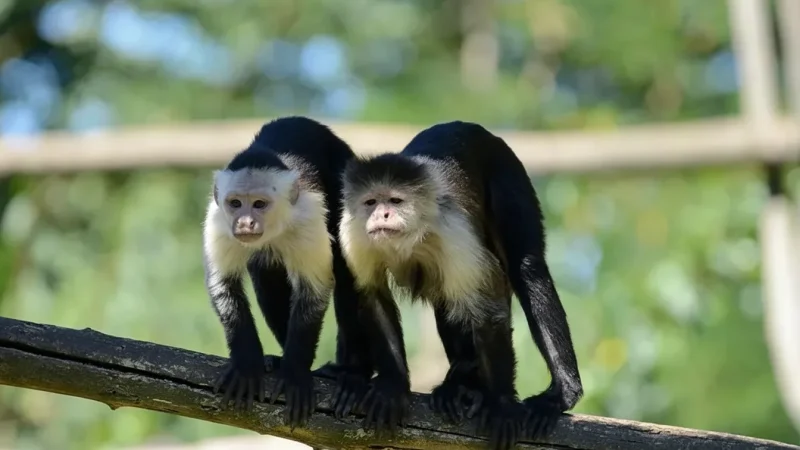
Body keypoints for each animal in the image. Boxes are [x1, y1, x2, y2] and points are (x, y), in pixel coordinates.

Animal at [203, 116, 374, 429]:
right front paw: (247, 363)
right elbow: (223, 285)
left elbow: (313, 290)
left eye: (259, 204)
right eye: (235, 203)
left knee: (347, 272)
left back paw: (354, 374)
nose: (244, 223)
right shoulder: (217, 219)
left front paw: (295, 373)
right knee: (265, 272)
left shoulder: (308, 214)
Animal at [337, 121, 583, 449]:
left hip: (508, 170)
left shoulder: (453, 231)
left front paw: (502, 405)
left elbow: (488, 311)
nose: (381, 215)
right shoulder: (352, 233)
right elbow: (372, 297)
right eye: (371, 202)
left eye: (395, 201)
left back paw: (561, 393)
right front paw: (393, 386)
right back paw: (463, 381)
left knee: (526, 269)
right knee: (446, 297)